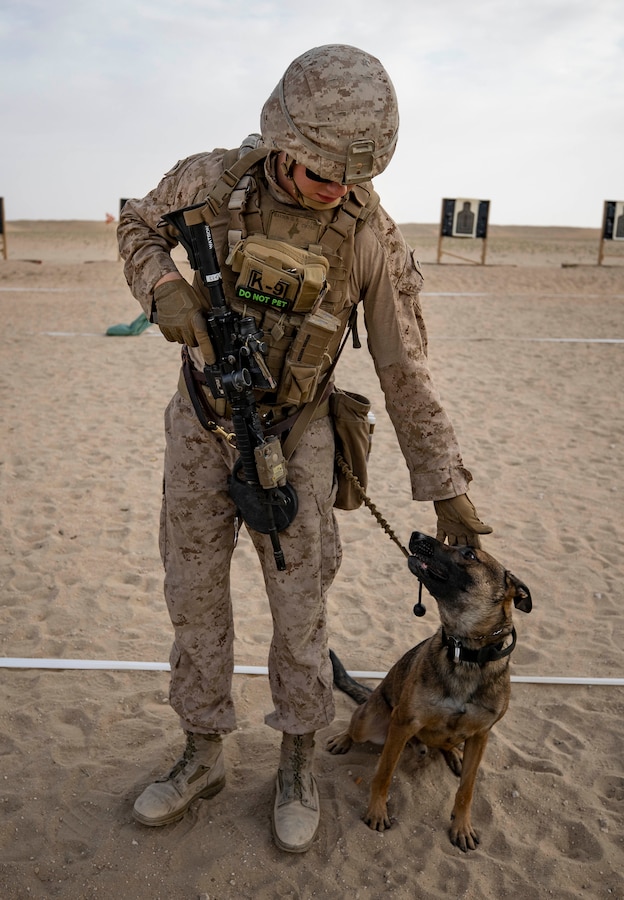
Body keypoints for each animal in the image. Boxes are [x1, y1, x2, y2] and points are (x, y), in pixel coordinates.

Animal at [326, 532, 532, 856]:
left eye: (469, 555)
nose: (416, 535)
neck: (465, 653)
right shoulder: (403, 723)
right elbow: (384, 774)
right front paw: (377, 811)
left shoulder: (481, 734)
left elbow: (467, 789)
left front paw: (462, 826)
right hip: (371, 720)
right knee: (357, 724)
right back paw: (344, 738)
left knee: (447, 746)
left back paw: (453, 753)